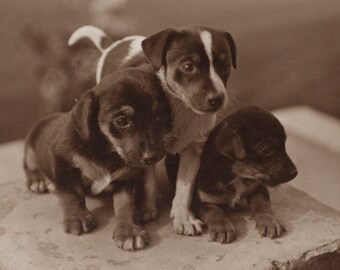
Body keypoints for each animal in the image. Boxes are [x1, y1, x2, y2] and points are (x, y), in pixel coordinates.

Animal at [23, 68, 171, 251]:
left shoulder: (126, 177)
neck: (106, 150)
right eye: (122, 121)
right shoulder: (64, 162)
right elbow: (72, 193)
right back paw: (38, 180)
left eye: (159, 116)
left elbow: (125, 205)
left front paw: (129, 231)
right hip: (31, 145)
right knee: (29, 164)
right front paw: (77, 217)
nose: (152, 157)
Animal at [67, 25, 235, 236]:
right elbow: (148, 181)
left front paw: (183, 218)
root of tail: (113, 43)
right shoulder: (145, 146)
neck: (180, 108)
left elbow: (184, 188)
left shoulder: (193, 150)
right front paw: (146, 209)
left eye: (226, 67)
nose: (218, 99)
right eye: (188, 67)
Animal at [166, 106, 296, 244]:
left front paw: (270, 221)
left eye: (284, 144)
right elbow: (215, 211)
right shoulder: (200, 202)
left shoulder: (258, 187)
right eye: (267, 150)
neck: (237, 175)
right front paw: (222, 228)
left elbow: (263, 204)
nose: (295, 173)